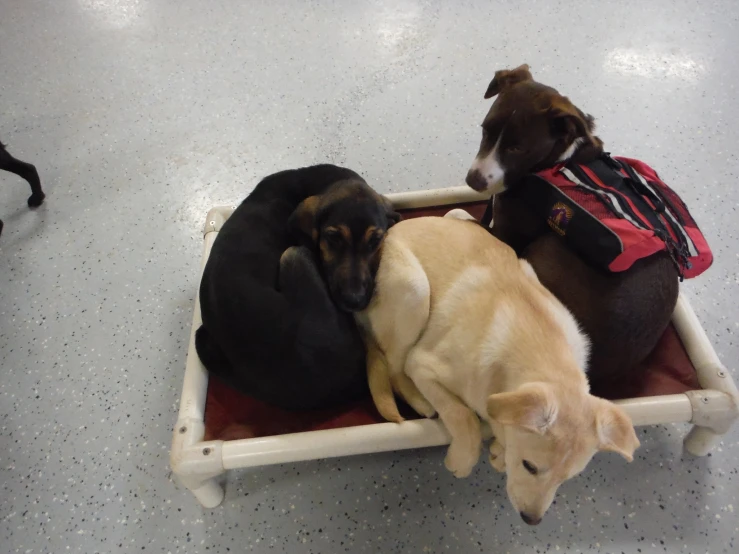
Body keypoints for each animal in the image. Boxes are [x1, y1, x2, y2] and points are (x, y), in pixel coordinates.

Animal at [356, 213, 640, 524]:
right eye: (530, 466)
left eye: (565, 479)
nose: (531, 520)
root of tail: (395, 228)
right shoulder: (422, 364)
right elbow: (464, 416)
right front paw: (463, 458)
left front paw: (499, 451)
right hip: (414, 290)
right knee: (395, 369)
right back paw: (420, 401)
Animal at [466, 63, 680, 392]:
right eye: (485, 130)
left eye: (517, 148)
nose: (473, 181)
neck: (559, 158)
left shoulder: (507, 234)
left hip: (546, 247)